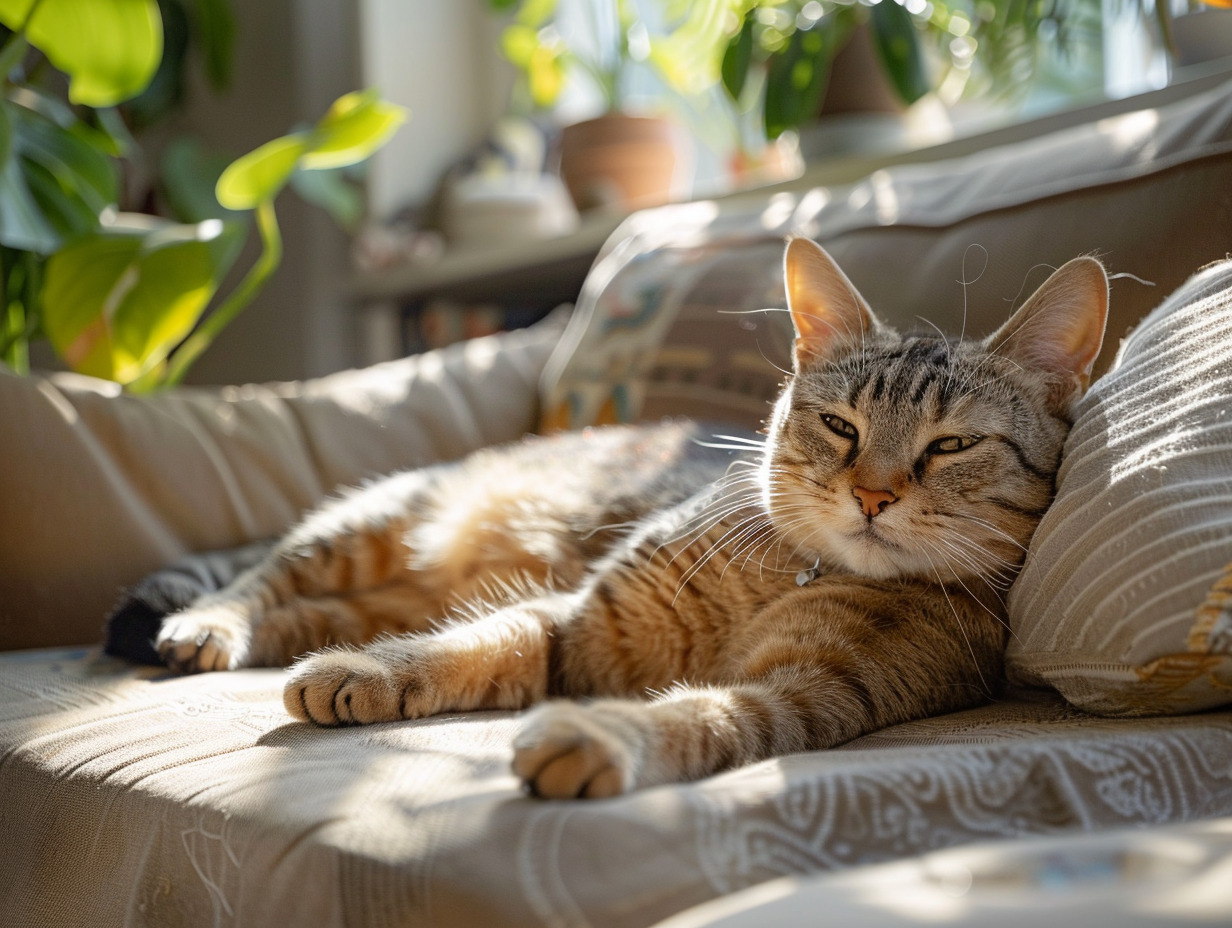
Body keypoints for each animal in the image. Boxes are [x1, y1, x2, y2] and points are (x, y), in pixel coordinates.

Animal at [154, 239, 1108, 798]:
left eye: (952, 446)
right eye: (841, 426)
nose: (872, 496)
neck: (791, 574)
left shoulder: (809, 692)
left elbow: (704, 716)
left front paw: (602, 736)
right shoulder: (578, 621)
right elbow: (462, 645)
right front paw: (371, 670)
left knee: (311, 610)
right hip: (371, 527)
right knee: (264, 577)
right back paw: (207, 628)